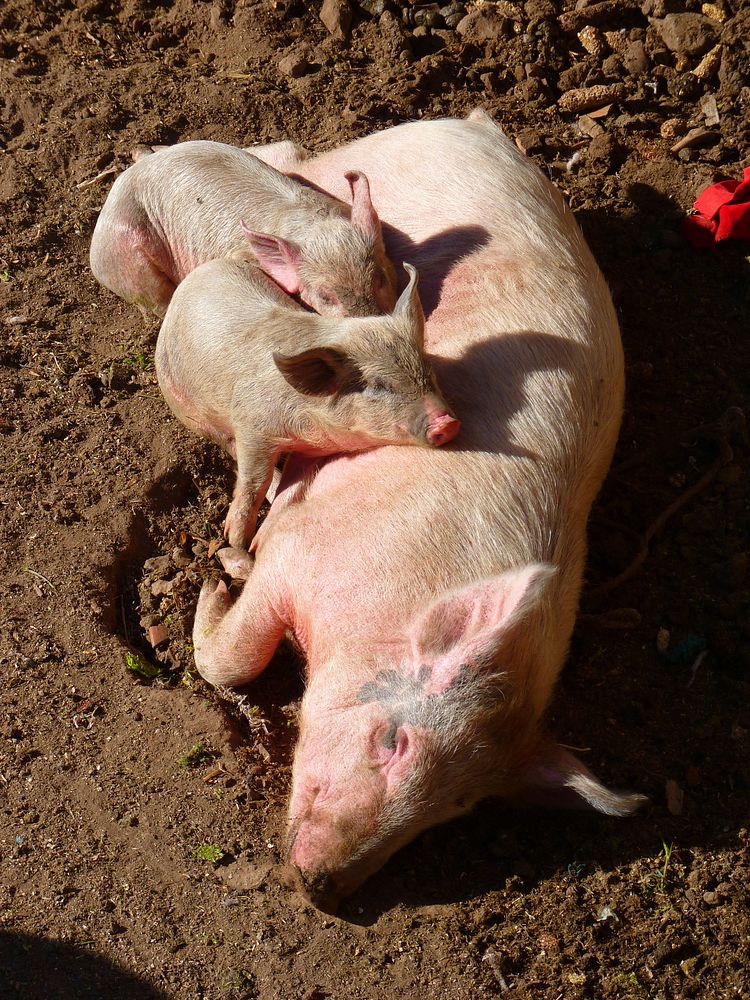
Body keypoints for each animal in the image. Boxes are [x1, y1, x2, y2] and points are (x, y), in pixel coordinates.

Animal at [191, 113, 648, 912]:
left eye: (455, 809)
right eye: (392, 741)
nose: (323, 888)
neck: (397, 593)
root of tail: (468, 124)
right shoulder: (300, 555)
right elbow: (236, 655)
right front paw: (216, 576)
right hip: (351, 171)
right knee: (296, 161)